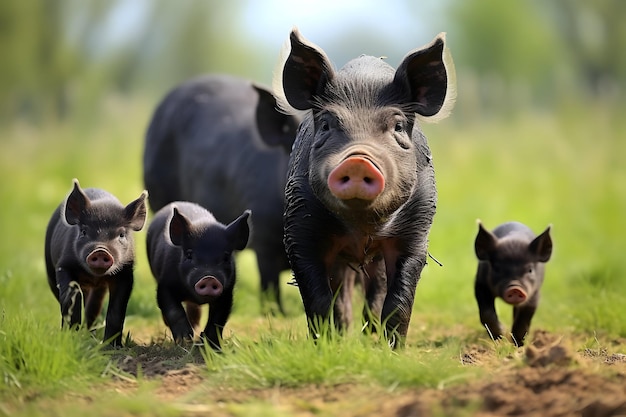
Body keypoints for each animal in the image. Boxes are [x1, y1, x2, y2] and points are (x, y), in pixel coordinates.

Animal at [44, 179, 148, 344]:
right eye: (84, 231)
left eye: (121, 234)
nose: (100, 250)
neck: (94, 277)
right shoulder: (63, 266)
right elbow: (71, 298)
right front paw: (71, 338)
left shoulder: (125, 273)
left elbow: (116, 310)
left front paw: (112, 346)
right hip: (49, 271)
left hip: (99, 289)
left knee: (94, 308)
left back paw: (91, 336)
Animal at [147, 202, 250, 348]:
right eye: (189, 254)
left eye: (226, 257)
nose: (209, 277)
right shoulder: (164, 284)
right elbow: (174, 310)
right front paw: (184, 340)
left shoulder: (227, 292)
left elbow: (218, 318)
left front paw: (210, 344)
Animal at [276, 28, 454, 348]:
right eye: (326, 125)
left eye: (398, 127)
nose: (358, 160)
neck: (361, 228)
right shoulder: (299, 229)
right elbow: (318, 299)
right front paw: (328, 345)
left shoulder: (417, 229)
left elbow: (399, 299)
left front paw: (391, 350)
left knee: (376, 288)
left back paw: (369, 333)